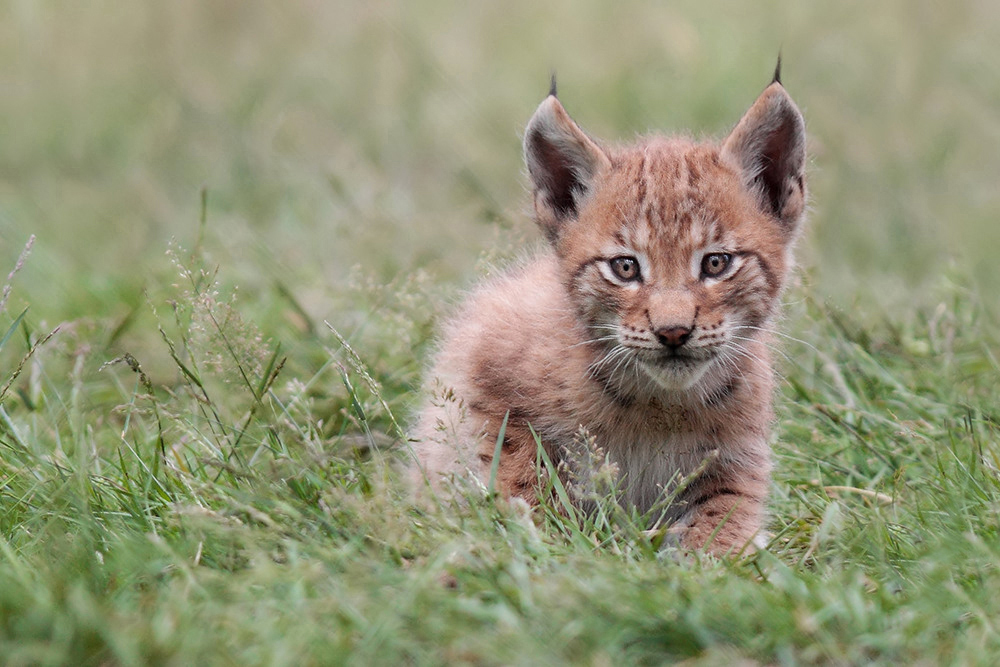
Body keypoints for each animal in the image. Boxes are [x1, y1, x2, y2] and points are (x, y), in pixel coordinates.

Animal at [410, 65, 808, 556]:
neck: (660, 405)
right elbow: (520, 473)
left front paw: (709, 562)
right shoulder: (489, 374)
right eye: (625, 267)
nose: (673, 332)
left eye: (716, 263)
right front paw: (551, 546)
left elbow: (728, 517)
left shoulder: (738, 452)